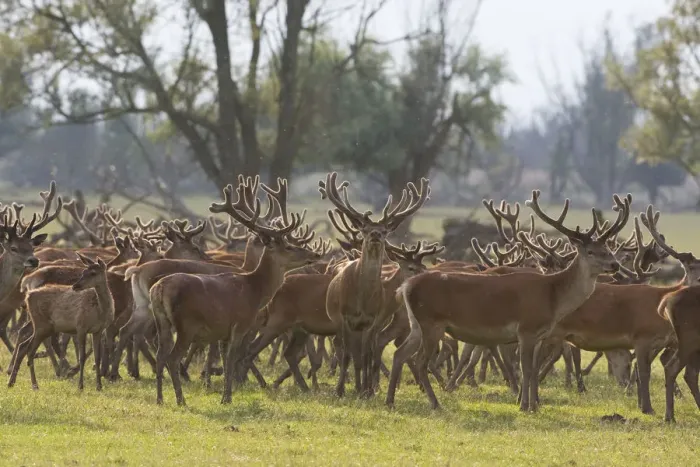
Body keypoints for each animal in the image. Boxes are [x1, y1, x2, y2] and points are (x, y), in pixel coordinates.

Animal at [8, 254, 114, 392]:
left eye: (93, 273)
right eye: (83, 272)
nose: (75, 286)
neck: (100, 310)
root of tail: (27, 296)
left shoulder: (98, 330)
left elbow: (97, 357)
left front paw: (99, 386)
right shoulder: (81, 326)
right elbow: (81, 357)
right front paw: (80, 385)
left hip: (42, 326)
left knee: (24, 345)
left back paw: (12, 382)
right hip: (42, 325)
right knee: (30, 350)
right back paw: (34, 385)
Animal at [148, 179, 319, 406]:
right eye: (289, 246)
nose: (314, 254)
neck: (255, 291)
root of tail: (159, 290)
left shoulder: (222, 330)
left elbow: (223, 358)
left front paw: (223, 391)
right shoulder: (240, 324)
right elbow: (231, 359)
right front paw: (227, 397)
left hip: (162, 322)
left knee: (161, 355)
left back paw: (159, 399)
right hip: (186, 324)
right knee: (172, 358)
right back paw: (181, 400)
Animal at [319, 172, 430, 398]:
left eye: (385, 230)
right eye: (364, 228)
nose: (376, 234)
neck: (361, 299)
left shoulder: (372, 320)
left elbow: (366, 354)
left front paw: (366, 390)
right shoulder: (344, 318)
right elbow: (348, 355)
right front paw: (340, 390)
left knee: (363, 352)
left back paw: (363, 386)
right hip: (339, 321)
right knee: (343, 348)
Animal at [385, 190, 631, 412]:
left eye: (607, 248)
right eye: (590, 251)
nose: (615, 265)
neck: (553, 297)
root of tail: (406, 286)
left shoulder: (539, 335)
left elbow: (533, 370)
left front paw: (534, 405)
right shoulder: (526, 329)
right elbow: (526, 369)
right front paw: (524, 406)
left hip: (416, 324)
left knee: (399, 354)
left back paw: (390, 401)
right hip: (431, 322)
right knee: (419, 361)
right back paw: (435, 403)